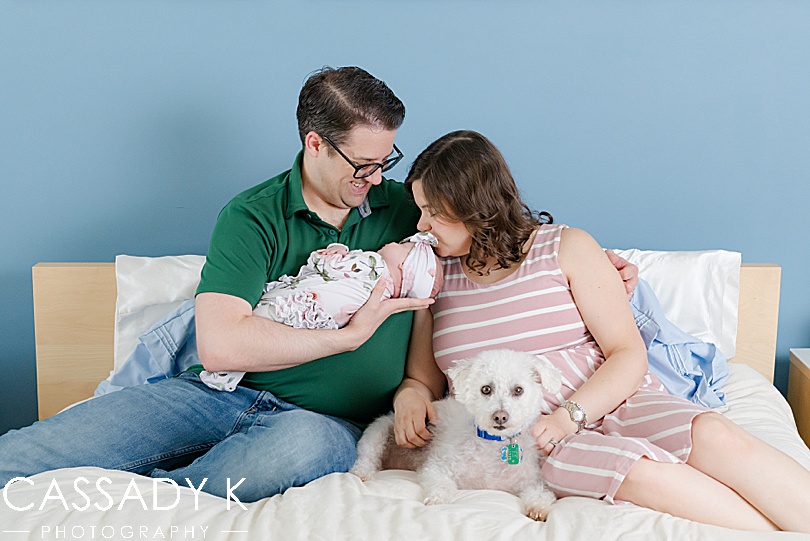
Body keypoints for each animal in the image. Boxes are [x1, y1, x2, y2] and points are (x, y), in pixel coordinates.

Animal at [350, 348, 560, 520]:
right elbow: (443, 485)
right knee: (366, 458)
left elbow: (541, 493)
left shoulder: (531, 481)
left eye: (518, 390)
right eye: (486, 389)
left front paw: (538, 507)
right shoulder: (435, 467)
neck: (493, 444)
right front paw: (437, 499)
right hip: (379, 430)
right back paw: (362, 473)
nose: (500, 416)